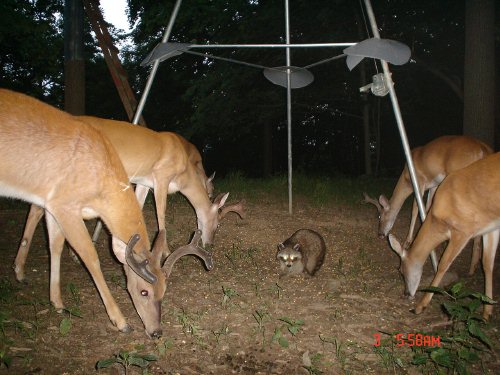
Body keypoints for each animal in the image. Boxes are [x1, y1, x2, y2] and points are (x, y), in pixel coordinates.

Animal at [0, 89, 213, 340]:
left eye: (164, 291)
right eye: (143, 292)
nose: (157, 332)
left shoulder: (60, 206)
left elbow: (55, 245)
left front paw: (58, 302)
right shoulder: (67, 204)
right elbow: (93, 256)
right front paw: (120, 320)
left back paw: (21, 271)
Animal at [13, 116, 244, 284]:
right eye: (218, 224)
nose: (210, 243)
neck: (185, 173)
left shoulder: (144, 181)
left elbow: (139, 207)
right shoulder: (161, 176)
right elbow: (161, 215)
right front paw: (166, 251)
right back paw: (22, 268)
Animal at [364, 135, 492, 274]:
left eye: (379, 216)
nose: (380, 234)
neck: (406, 179)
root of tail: (484, 150)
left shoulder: (419, 181)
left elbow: (415, 209)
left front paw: (408, 241)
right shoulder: (433, 185)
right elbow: (428, 206)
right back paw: (473, 266)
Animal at [388, 153, 500, 320]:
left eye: (401, 270)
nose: (406, 293)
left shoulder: (463, 229)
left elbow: (443, 264)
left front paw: (420, 306)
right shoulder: (490, 227)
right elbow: (487, 264)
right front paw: (487, 312)